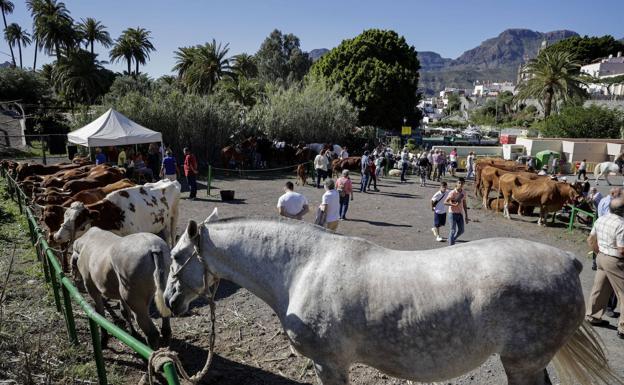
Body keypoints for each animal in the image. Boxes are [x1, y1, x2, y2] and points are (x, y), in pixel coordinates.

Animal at [163, 210, 620, 384]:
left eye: (175, 257)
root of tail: (569, 262)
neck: (302, 269)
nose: (169, 302)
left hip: (521, 364)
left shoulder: (329, 364)